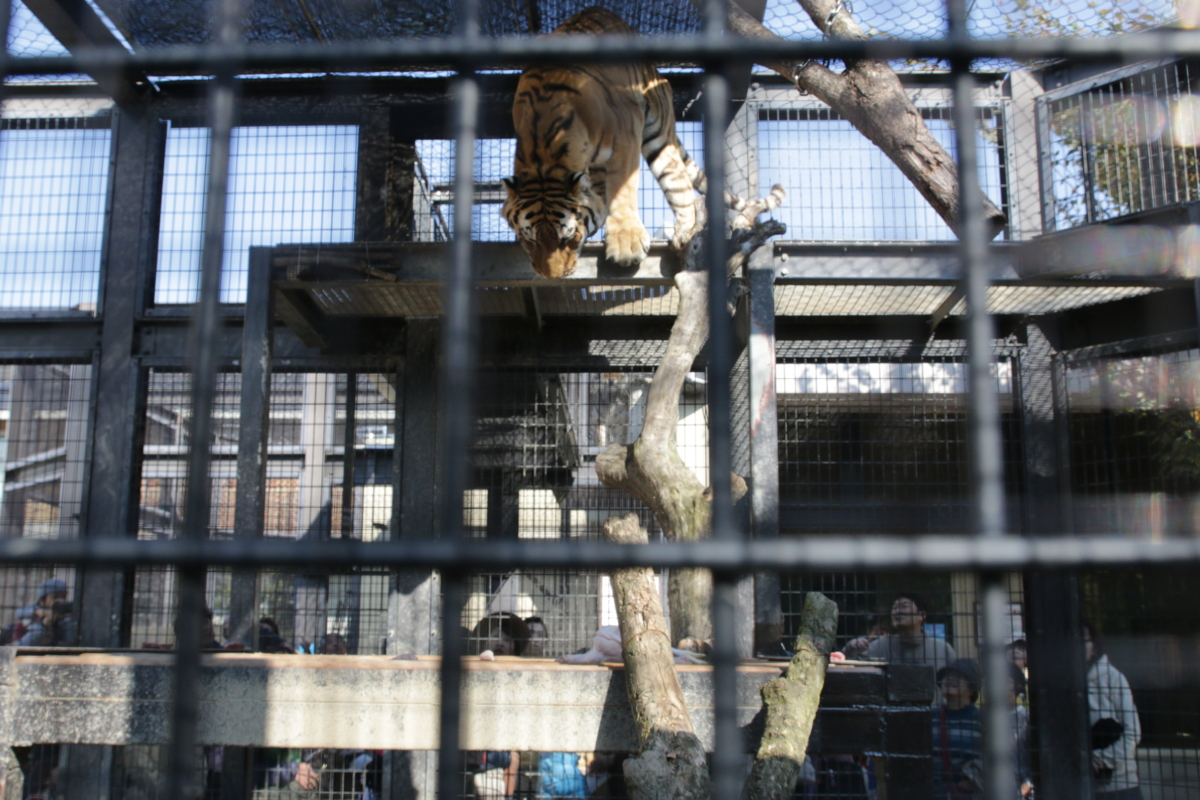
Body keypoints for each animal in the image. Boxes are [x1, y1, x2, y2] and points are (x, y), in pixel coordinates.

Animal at [501, 7, 705, 278]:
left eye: (569, 238)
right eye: (529, 240)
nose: (553, 277)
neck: (544, 154)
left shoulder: (626, 132)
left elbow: (623, 188)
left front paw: (626, 244)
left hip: (658, 132)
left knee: (680, 187)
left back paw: (686, 233)